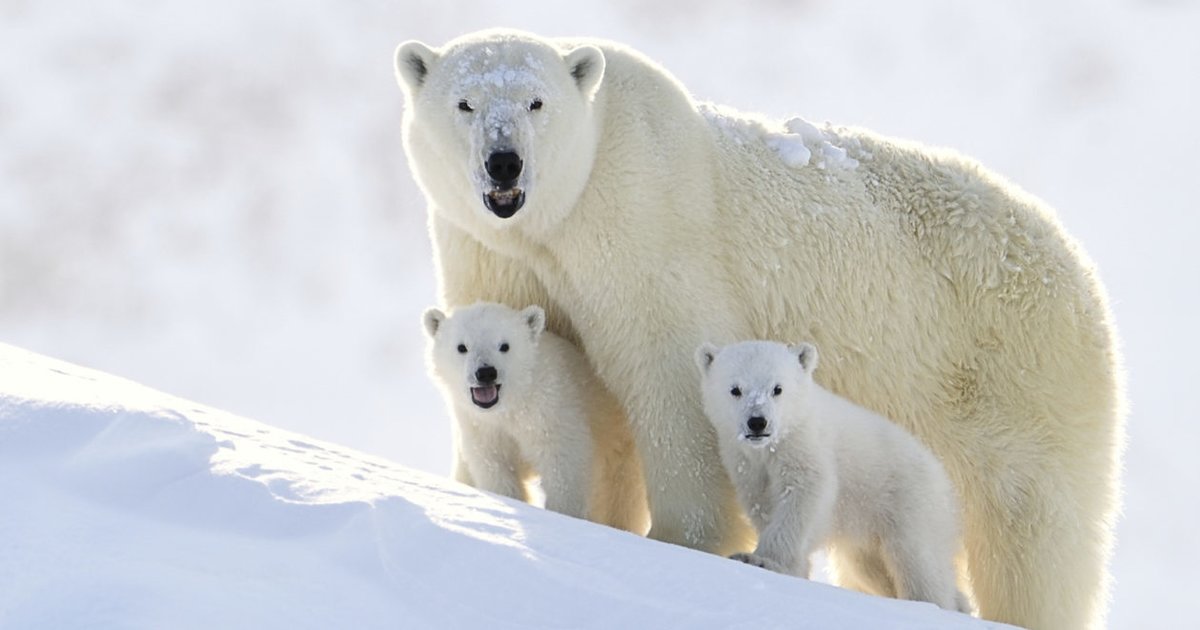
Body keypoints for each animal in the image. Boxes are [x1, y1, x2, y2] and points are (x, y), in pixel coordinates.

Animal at [422, 301, 648, 534]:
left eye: (504, 345)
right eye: (462, 347)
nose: (486, 373)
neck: (515, 403)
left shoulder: (552, 410)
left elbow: (563, 466)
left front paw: (563, 516)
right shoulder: (482, 427)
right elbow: (495, 467)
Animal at [696, 340, 971, 614]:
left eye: (777, 388)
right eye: (735, 389)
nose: (757, 422)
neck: (775, 444)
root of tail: (944, 479)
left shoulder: (806, 446)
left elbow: (803, 497)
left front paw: (762, 560)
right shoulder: (746, 464)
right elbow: (762, 504)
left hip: (911, 502)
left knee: (918, 561)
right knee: (872, 568)